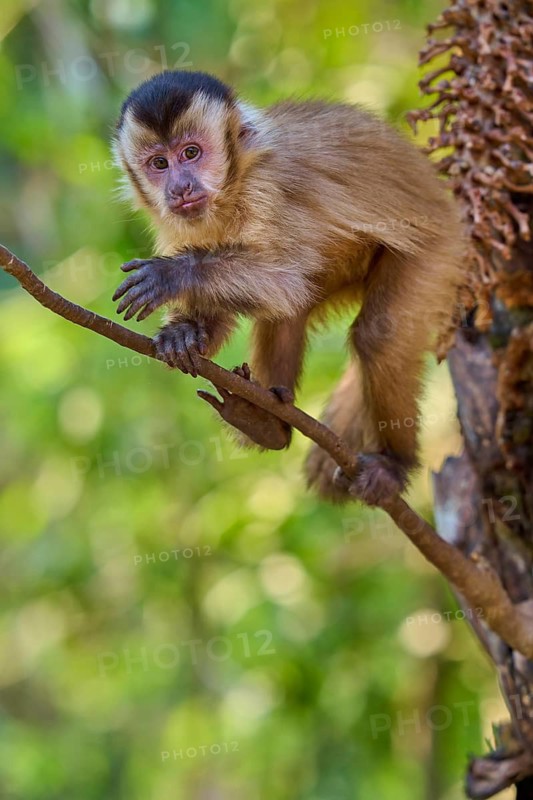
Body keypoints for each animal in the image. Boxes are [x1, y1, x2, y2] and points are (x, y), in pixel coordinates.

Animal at [111, 69, 464, 506]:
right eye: (159, 163)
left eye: (191, 153)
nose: (179, 187)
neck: (234, 184)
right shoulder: (177, 221)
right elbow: (255, 303)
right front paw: (185, 334)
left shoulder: (268, 188)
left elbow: (285, 280)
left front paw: (173, 275)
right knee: (288, 311)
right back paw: (266, 424)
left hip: (439, 252)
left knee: (377, 333)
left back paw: (393, 464)